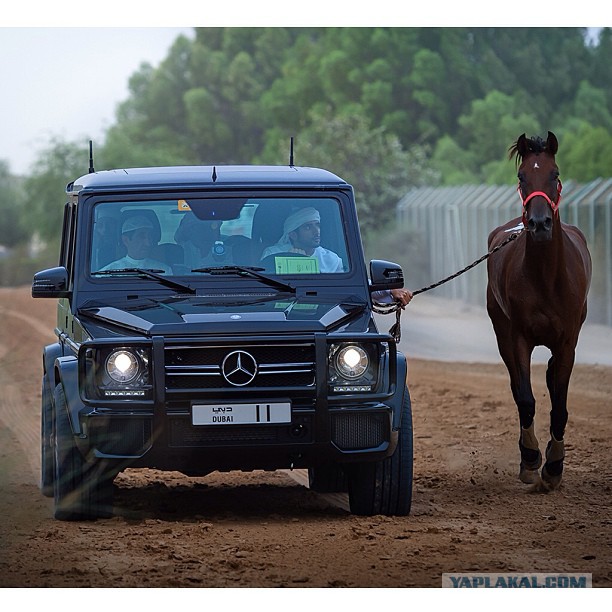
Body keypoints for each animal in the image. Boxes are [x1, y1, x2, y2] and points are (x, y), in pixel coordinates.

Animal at [486, 131, 592, 490]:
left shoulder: (568, 340)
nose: (540, 223)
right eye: (522, 177)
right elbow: (526, 399)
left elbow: (559, 403)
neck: (546, 277)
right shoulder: (518, 338)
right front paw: (532, 461)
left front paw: (555, 466)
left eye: (554, 174)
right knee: (519, 389)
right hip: (501, 333)